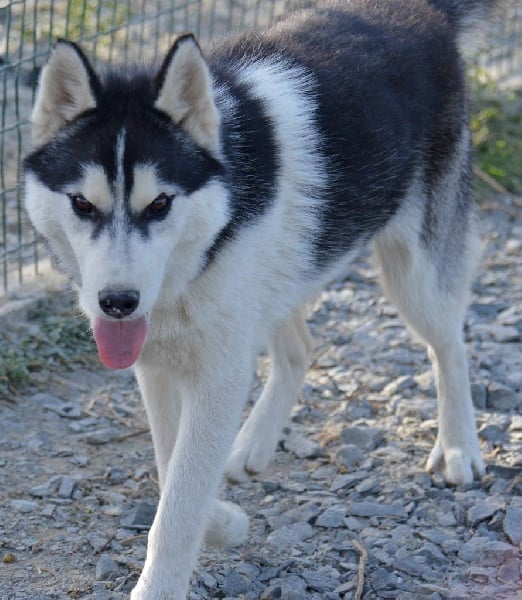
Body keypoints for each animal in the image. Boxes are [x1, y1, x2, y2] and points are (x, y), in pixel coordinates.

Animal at [24, 0, 496, 596]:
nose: (118, 302)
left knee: (449, 343)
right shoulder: (156, 365)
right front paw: (222, 519)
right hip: (277, 283)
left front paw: (166, 575)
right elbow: (172, 468)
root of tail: (421, 12)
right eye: (82, 204)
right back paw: (252, 444)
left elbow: (177, 506)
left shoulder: (219, 374)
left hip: (412, 275)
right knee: (300, 350)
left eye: (160, 204)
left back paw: (459, 448)